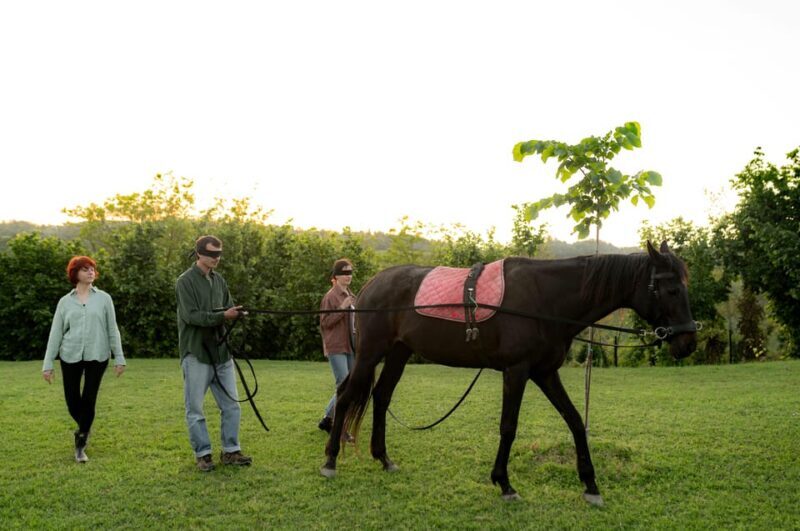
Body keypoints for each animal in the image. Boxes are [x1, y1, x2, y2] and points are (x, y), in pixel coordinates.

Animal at [320, 241, 697, 505]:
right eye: (672, 289)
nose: (688, 342)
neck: (546, 298)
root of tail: (370, 286)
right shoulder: (516, 372)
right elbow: (509, 427)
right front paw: (504, 483)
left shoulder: (545, 372)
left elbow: (575, 421)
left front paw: (590, 484)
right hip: (369, 354)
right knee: (345, 395)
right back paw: (331, 459)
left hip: (398, 353)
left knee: (381, 396)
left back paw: (383, 458)